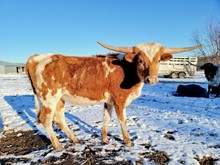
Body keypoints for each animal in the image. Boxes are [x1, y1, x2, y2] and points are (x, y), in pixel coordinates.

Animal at [25, 42, 201, 150]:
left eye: (158, 60)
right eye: (140, 60)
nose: (151, 79)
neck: (128, 71)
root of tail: (37, 57)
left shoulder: (109, 101)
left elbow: (106, 118)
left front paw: (104, 138)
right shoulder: (119, 100)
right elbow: (122, 120)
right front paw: (128, 141)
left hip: (59, 98)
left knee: (59, 117)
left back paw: (74, 139)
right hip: (49, 97)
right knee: (46, 119)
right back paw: (58, 145)